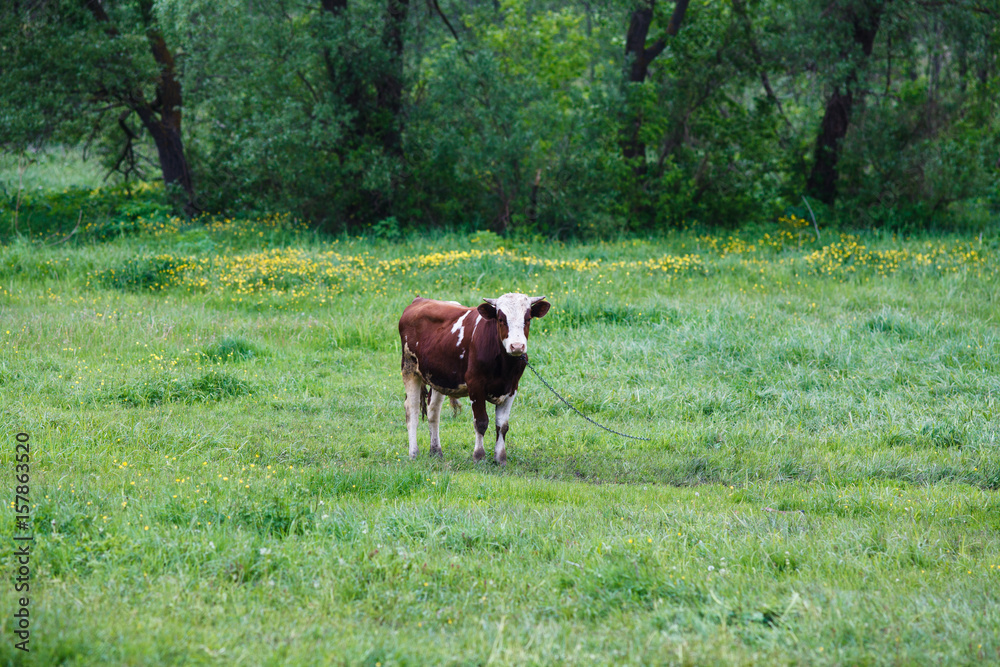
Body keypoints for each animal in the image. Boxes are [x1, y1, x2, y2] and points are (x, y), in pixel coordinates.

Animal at [398, 293, 551, 465]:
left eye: (528, 319)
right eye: (501, 319)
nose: (517, 346)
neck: (504, 366)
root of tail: (419, 300)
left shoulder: (512, 388)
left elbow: (502, 426)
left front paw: (500, 458)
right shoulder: (475, 385)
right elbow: (481, 422)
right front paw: (479, 456)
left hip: (438, 378)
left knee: (433, 411)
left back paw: (436, 451)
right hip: (409, 369)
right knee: (412, 411)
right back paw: (413, 453)